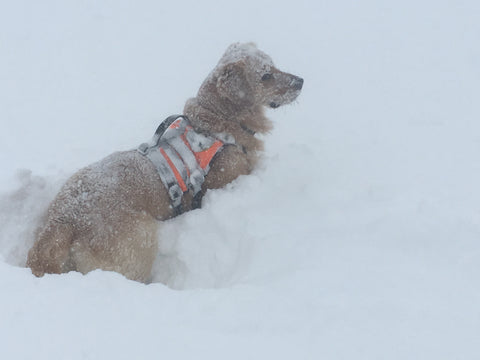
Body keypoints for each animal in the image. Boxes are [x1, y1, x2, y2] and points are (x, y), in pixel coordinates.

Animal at [25, 42, 304, 282]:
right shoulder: (229, 176)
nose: (301, 81)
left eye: (274, 65)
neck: (216, 122)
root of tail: (63, 221)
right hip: (143, 236)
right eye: (265, 76)